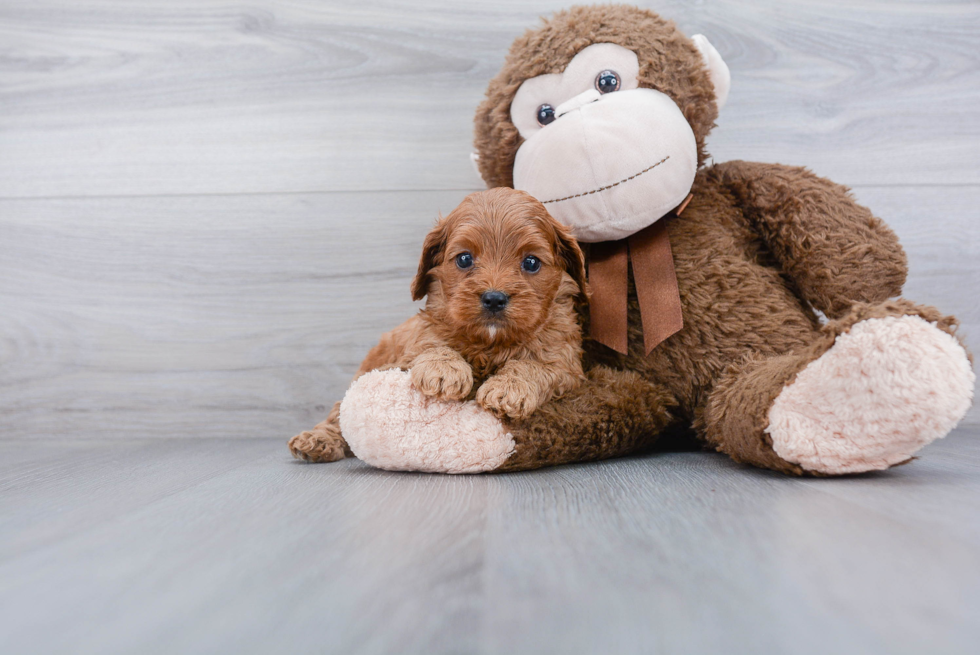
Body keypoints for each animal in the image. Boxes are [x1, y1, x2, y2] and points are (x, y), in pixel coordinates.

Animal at [288, 187, 584, 464]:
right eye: (464, 259)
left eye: (531, 262)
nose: (494, 298)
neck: (489, 343)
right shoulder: (410, 348)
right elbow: (432, 345)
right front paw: (444, 371)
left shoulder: (565, 363)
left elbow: (534, 366)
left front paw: (508, 389)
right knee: (337, 412)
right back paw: (316, 440)